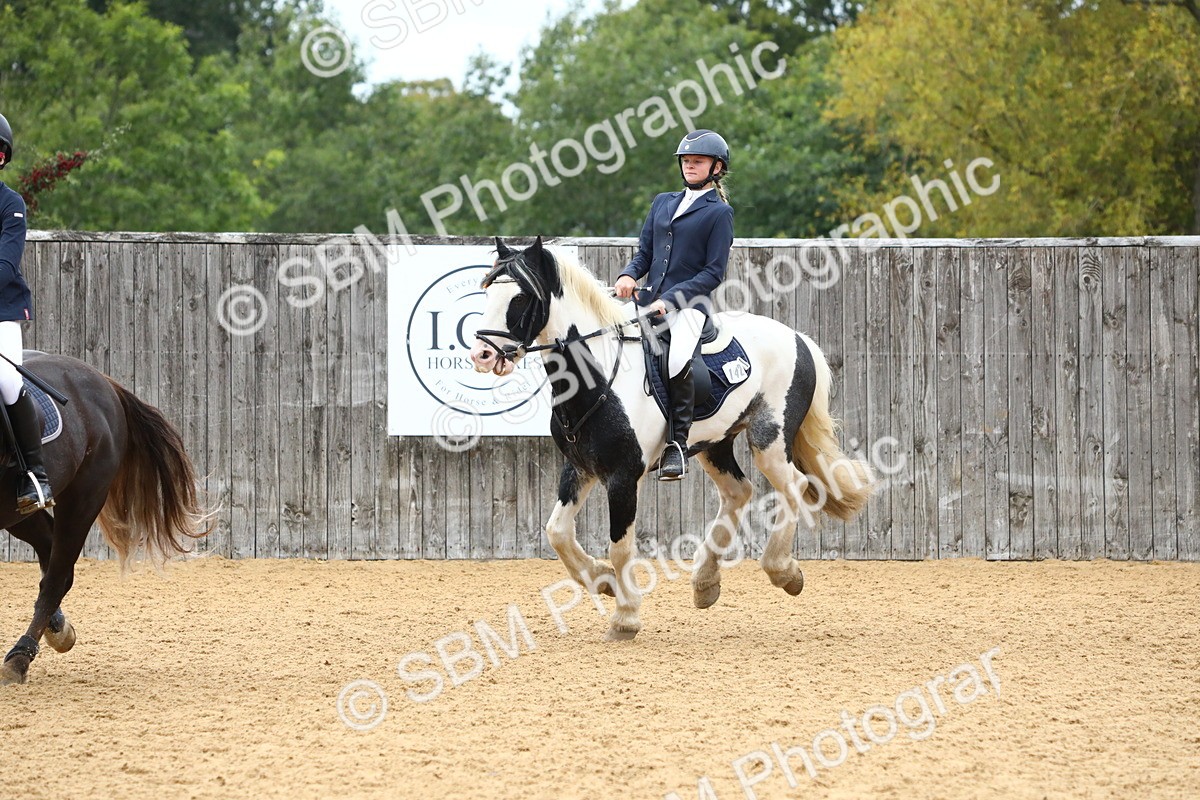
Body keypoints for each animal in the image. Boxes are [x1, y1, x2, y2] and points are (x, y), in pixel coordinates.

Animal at [0, 352, 210, 685]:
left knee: (57, 575)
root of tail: (103, 380)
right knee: (48, 545)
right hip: (16, 511)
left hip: (84, 497)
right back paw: (57, 629)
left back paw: (20, 659)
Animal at [469, 237, 876, 641]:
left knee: (793, 486)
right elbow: (557, 532)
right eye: (486, 292)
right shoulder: (580, 467)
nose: (482, 355)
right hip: (715, 444)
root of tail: (798, 338)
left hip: (770, 440)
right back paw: (705, 583)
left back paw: (783, 572)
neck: (598, 377)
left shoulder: (623, 475)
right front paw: (603, 582)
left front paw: (625, 617)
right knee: (738, 492)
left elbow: (620, 547)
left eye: (521, 297)